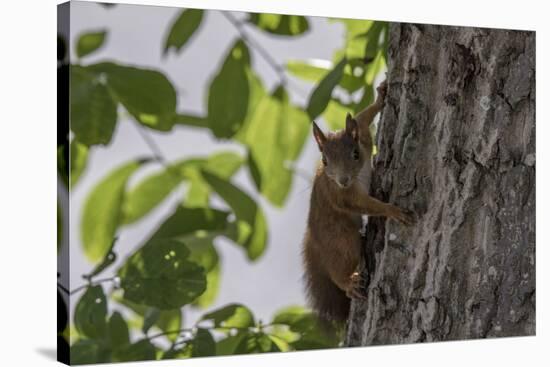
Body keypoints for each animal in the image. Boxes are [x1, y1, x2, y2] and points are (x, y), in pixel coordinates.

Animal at [304, 81, 416, 324]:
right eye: (325, 161)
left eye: (355, 154)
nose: (343, 180)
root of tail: (314, 240)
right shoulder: (342, 196)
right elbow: (365, 205)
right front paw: (392, 210)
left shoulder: (363, 137)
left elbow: (362, 118)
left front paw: (381, 96)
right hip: (342, 240)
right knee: (339, 266)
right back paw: (348, 283)